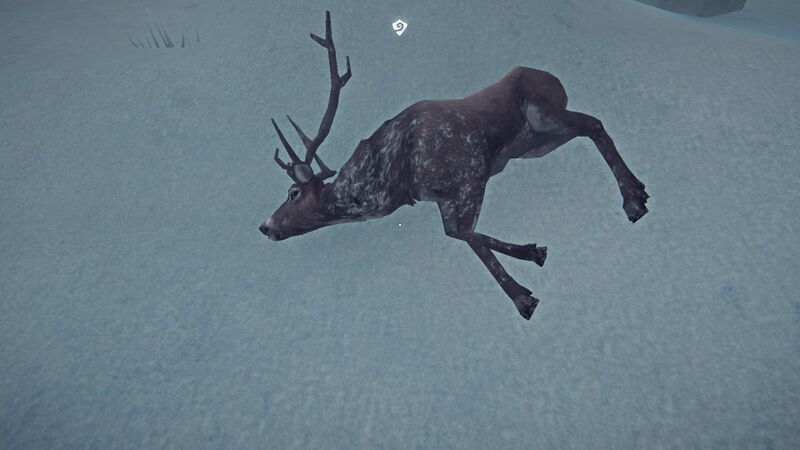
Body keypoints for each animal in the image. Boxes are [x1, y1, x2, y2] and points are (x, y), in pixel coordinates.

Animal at [258, 11, 649, 320]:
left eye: (293, 192)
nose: (265, 226)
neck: (394, 180)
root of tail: (553, 77)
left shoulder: (471, 170)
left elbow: (465, 233)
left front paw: (523, 294)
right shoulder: (441, 196)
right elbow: (459, 234)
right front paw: (532, 258)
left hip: (546, 113)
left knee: (594, 123)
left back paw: (634, 200)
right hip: (536, 144)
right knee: (588, 128)